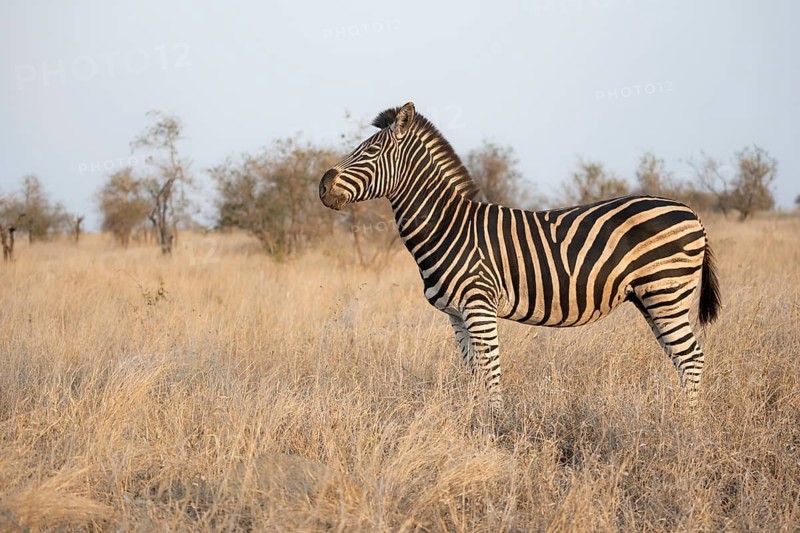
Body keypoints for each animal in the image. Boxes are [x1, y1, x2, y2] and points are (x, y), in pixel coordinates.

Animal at [319, 102, 721, 412]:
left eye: (370, 152)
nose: (323, 186)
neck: (450, 226)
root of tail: (691, 212)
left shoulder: (479, 305)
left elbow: (492, 372)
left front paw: (496, 425)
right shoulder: (456, 315)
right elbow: (474, 372)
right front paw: (476, 419)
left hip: (666, 291)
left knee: (692, 358)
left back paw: (687, 425)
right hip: (651, 298)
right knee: (680, 358)